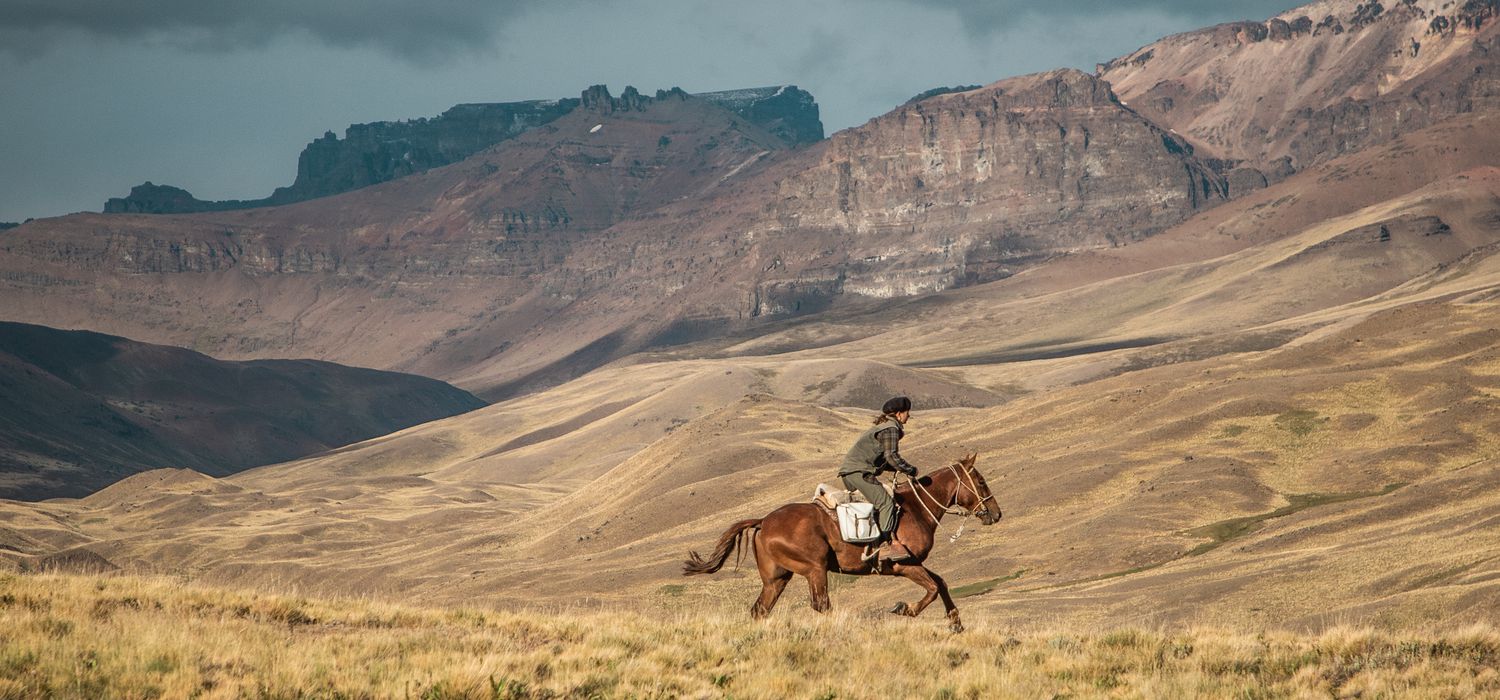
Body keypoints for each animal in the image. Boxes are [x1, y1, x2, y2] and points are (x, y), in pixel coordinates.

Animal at [687, 455, 1002, 635]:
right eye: (981, 481)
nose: (996, 514)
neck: (916, 507)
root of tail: (764, 521)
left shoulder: (914, 564)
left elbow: (941, 583)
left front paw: (955, 622)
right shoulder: (903, 565)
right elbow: (933, 588)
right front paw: (904, 608)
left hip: (777, 578)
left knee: (761, 610)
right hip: (814, 568)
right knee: (821, 604)